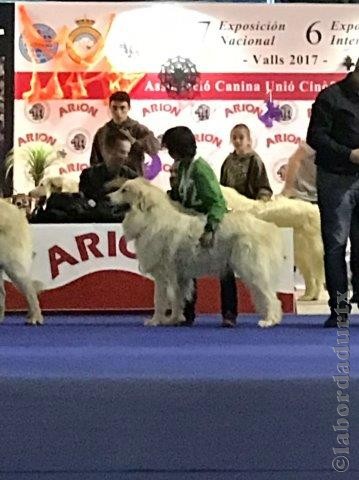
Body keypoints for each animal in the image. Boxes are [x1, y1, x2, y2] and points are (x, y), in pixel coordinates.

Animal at [111, 178, 286, 328]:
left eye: (124, 190)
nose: (107, 197)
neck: (150, 219)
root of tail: (264, 225)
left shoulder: (163, 275)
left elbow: (159, 300)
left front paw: (156, 321)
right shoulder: (179, 278)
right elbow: (178, 300)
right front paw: (175, 319)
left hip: (251, 268)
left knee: (271, 297)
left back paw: (269, 320)